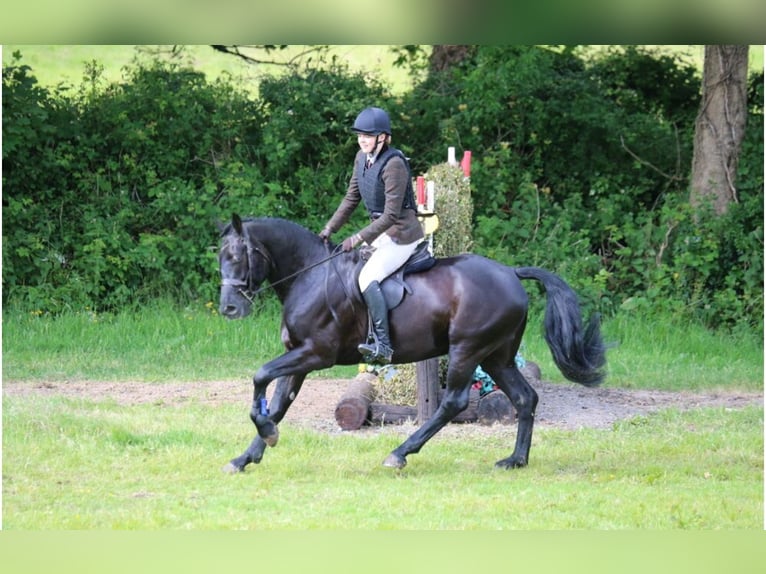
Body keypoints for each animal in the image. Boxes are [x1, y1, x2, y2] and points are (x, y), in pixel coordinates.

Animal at [217, 214, 607, 473]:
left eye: (236, 256)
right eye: (220, 257)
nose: (229, 308)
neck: (309, 275)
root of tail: (511, 273)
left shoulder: (315, 354)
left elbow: (260, 377)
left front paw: (265, 435)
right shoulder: (297, 355)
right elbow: (278, 403)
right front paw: (246, 456)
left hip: (467, 349)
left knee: (453, 402)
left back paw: (400, 453)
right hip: (497, 356)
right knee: (525, 397)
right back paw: (515, 460)